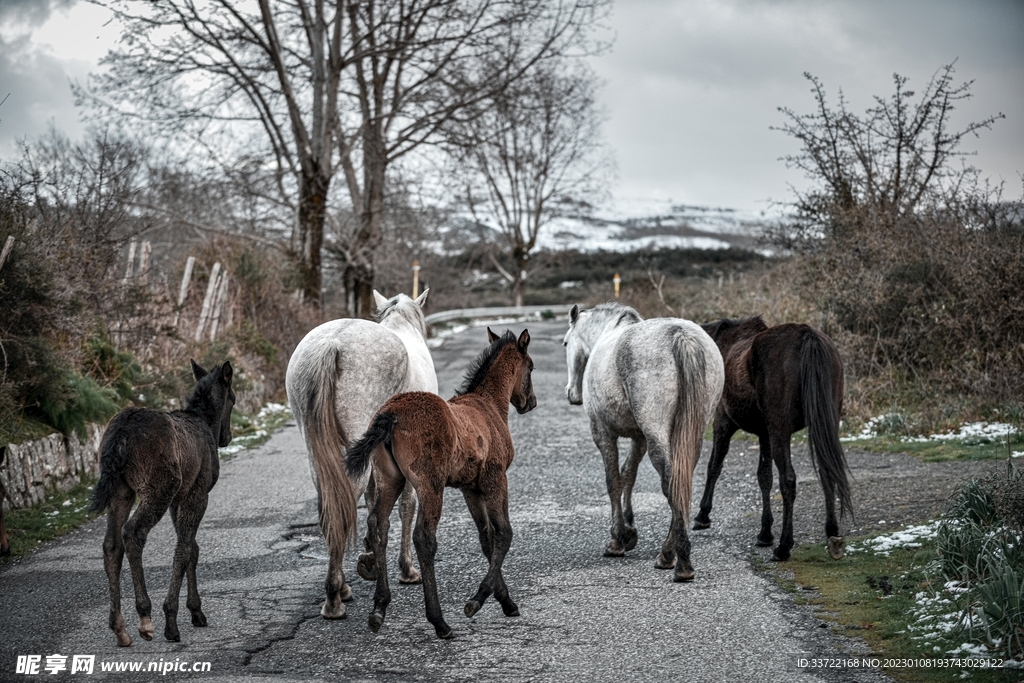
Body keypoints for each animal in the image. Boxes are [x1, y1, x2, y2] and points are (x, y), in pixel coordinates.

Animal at [91, 360, 235, 647]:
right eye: (233, 400)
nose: (227, 437)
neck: (206, 421)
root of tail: (121, 432)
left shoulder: (178, 499)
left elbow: (192, 548)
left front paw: (196, 610)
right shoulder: (198, 493)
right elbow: (184, 550)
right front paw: (172, 618)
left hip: (122, 490)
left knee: (112, 543)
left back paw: (119, 626)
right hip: (158, 487)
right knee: (132, 533)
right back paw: (145, 616)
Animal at [285, 290, 436, 620]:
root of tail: (332, 343)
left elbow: (375, 501)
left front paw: (369, 554)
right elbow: (405, 506)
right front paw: (406, 569)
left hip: (318, 449)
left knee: (330, 506)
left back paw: (339, 589)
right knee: (344, 507)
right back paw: (334, 598)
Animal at [345, 328, 536, 639]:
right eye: (531, 367)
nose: (530, 402)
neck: (489, 406)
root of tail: (390, 415)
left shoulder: (471, 488)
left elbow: (486, 537)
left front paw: (505, 600)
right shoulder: (496, 479)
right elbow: (504, 533)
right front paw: (477, 601)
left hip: (390, 479)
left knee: (378, 526)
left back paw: (378, 609)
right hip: (430, 485)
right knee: (424, 538)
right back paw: (439, 622)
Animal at [563, 303, 724, 582]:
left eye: (565, 343)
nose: (571, 393)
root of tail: (680, 335)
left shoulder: (603, 433)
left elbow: (613, 481)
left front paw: (617, 539)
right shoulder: (639, 438)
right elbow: (628, 474)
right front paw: (629, 530)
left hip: (656, 431)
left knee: (670, 482)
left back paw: (677, 559)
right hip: (690, 433)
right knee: (680, 481)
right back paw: (671, 553)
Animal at [692, 316, 852, 561]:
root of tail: (806, 336)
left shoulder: (723, 423)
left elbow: (714, 467)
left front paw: (702, 515)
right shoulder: (764, 434)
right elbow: (764, 477)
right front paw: (765, 532)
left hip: (780, 430)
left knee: (788, 480)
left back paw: (784, 546)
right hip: (824, 423)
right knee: (827, 472)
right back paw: (832, 533)